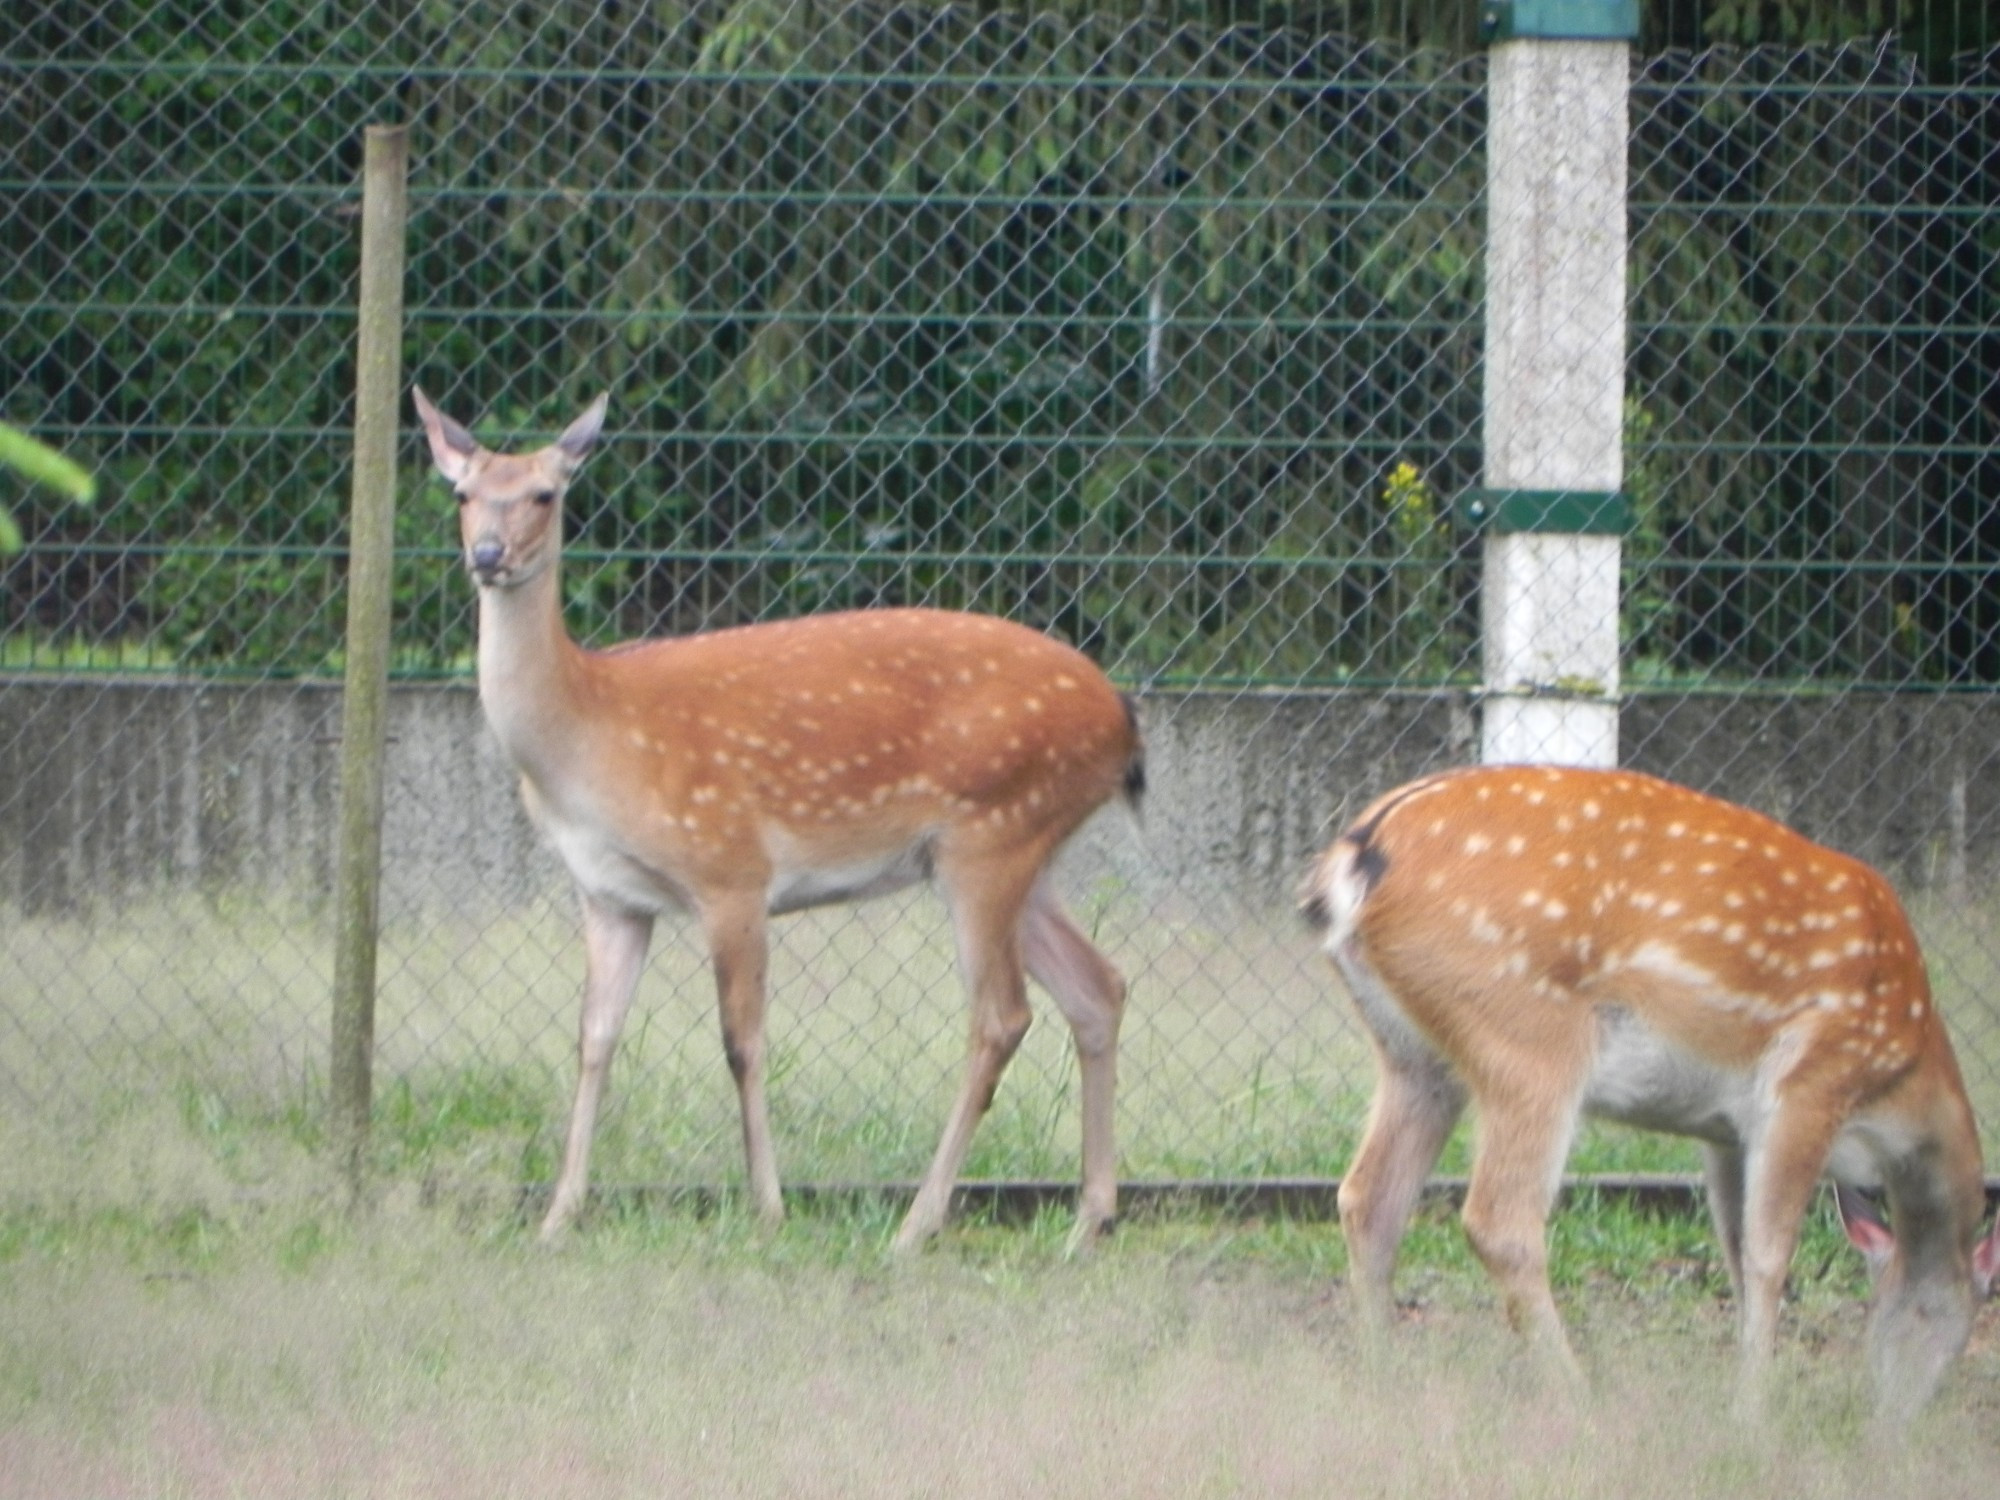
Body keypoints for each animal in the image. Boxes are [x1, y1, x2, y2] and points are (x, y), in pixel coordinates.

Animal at [414, 382, 1152, 1248]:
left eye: (545, 493)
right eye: (462, 494)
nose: (488, 555)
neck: (586, 738)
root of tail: (1122, 720)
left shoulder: (730, 868)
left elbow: (742, 1042)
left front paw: (768, 1208)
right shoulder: (610, 895)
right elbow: (594, 1040)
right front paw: (559, 1216)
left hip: (992, 830)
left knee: (1002, 1015)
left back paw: (917, 1223)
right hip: (1021, 847)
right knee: (1098, 986)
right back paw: (1088, 1220)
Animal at [1304, 768, 1992, 1424]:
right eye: (1955, 1325)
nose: (1895, 1418)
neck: (1899, 1092)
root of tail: (1356, 854)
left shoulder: (1726, 1131)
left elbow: (1736, 1249)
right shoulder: (1812, 1084)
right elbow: (1770, 1256)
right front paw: (1753, 1413)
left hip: (1413, 1057)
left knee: (1369, 1199)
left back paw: (1384, 1384)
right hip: (1530, 1039)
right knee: (1498, 1220)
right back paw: (1579, 1399)